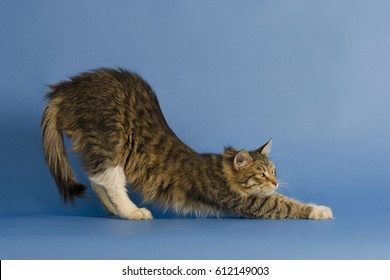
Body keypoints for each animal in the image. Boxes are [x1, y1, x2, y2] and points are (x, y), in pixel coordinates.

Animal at [42, 68, 332, 221]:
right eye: (261, 174)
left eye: (274, 171)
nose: (274, 182)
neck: (221, 167)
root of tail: (67, 87)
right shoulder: (243, 201)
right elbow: (285, 204)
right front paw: (319, 209)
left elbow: (285, 199)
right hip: (109, 138)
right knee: (109, 181)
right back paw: (131, 212)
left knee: (95, 179)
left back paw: (112, 210)